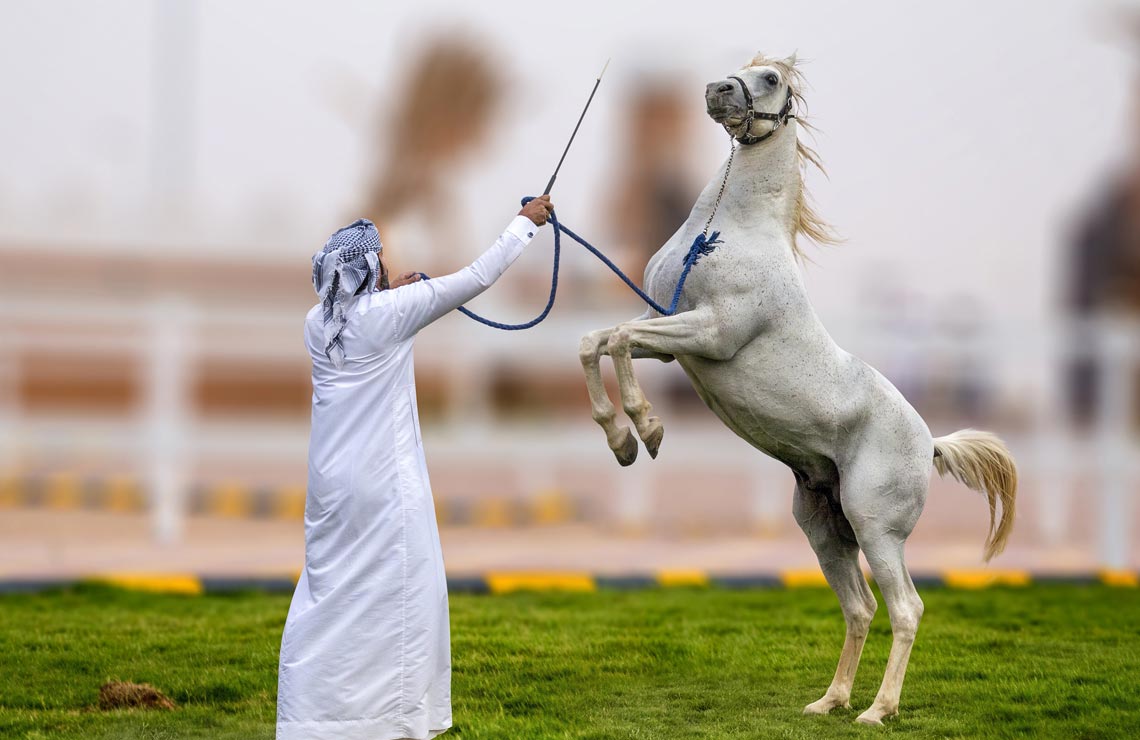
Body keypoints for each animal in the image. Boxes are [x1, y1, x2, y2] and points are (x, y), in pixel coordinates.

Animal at [583, 53, 1021, 725]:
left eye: (770, 80)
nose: (716, 91)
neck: (730, 231)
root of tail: (931, 443)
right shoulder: (673, 335)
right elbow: (600, 341)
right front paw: (622, 440)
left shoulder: (709, 333)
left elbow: (621, 340)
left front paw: (645, 430)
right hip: (824, 529)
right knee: (861, 607)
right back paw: (830, 701)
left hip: (875, 527)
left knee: (906, 608)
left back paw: (878, 711)